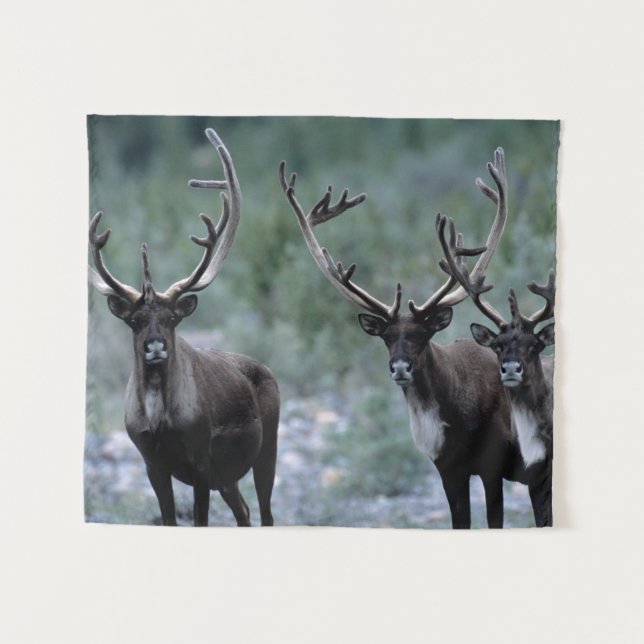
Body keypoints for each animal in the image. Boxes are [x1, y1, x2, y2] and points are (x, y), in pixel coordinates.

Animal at [88, 128, 280, 527]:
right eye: (134, 321)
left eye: (173, 318)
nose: (155, 345)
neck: (161, 417)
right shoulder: (152, 462)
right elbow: (169, 518)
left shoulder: (201, 458)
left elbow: (200, 520)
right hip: (228, 475)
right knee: (244, 511)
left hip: (266, 447)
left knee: (266, 514)